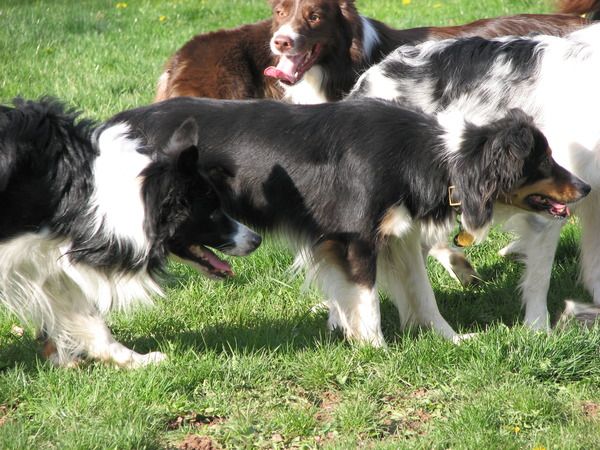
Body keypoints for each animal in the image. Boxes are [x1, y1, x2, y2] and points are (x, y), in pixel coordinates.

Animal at [105, 96, 590, 345]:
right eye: (544, 161)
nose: (585, 187)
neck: (439, 159)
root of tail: (110, 127)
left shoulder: (399, 237)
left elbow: (423, 296)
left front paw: (452, 340)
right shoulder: (354, 238)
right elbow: (368, 301)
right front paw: (376, 351)